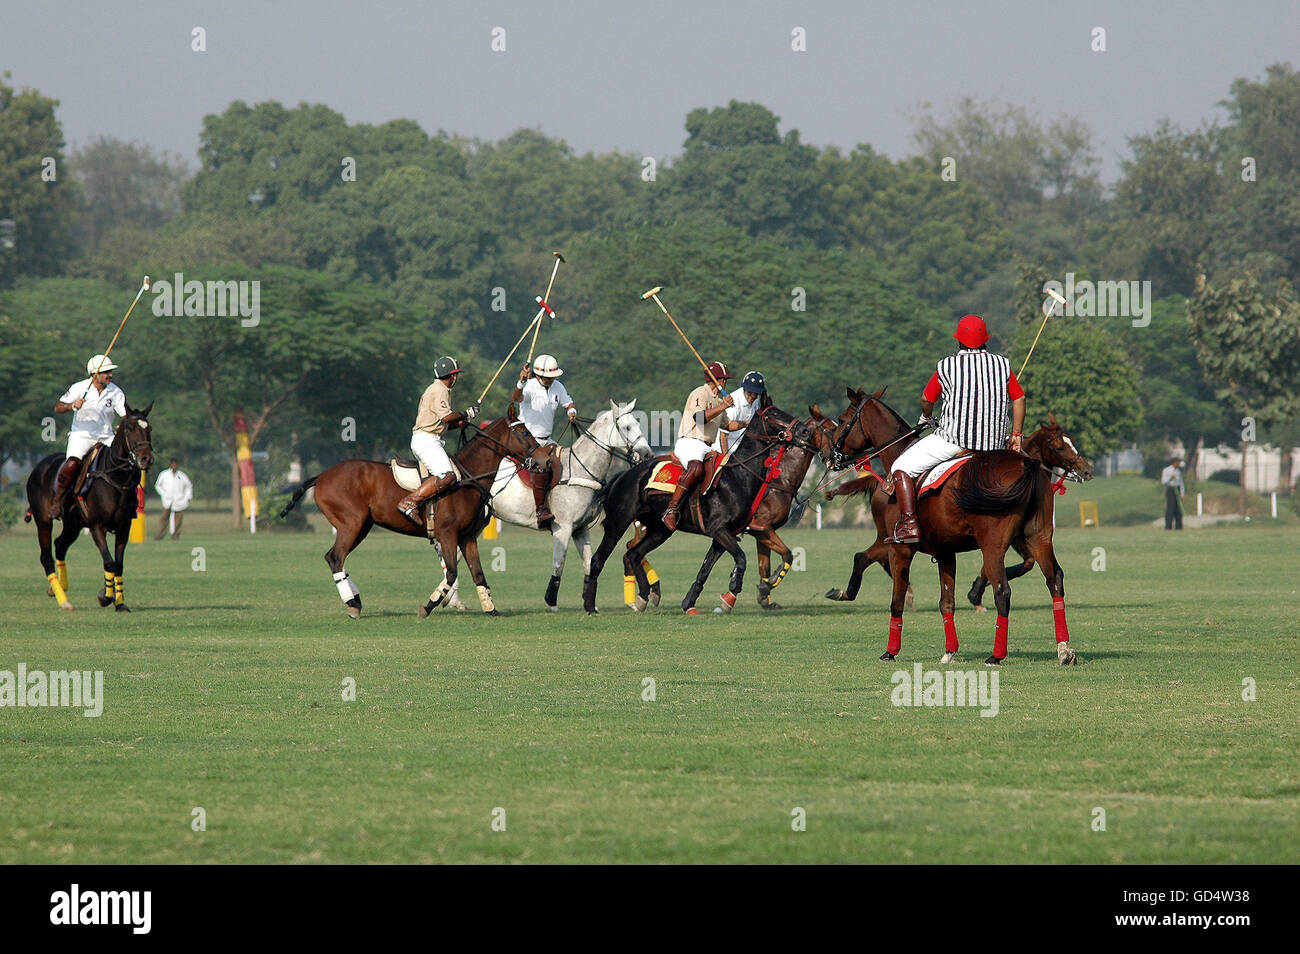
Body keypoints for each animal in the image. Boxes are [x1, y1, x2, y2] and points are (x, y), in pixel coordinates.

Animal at [24, 402, 156, 613]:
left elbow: (118, 564)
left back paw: (60, 587)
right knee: (46, 557)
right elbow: (109, 562)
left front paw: (120, 603)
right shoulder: (96, 525)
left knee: (60, 545)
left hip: (73, 524)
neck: (116, 478)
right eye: (129, 428)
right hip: (43, 520)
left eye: (149, 428)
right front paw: (105, 596)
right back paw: (64, 601)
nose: (146, 459)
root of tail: (38, 467)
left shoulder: (124, 526)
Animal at [276, 408, 540, 621]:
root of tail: (321, 477)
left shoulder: (467, 537)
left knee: (336, 557)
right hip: (351, 524)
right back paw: (353, 603)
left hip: (361, 526)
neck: (468, 478)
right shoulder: (447, 534)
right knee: (335, 557)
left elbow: (478, 573)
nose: (543, 459)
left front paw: (491, 609)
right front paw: (428, 606)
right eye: (524, 432)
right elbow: (451, 572)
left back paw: (356, 601)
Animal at [444, 402, 650, 613]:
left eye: (637, 424)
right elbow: (559, 564)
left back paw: (452, 600)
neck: (580, 469)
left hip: (478, 522)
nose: (646, 453)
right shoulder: (563, 528)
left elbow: (588, 563)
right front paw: (551, 600)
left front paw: (589, 601)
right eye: (626, 427)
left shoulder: (581, 529)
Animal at [579, 408, 811, 616]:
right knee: (598, 559)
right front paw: (732, 592)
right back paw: (591, 606)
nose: (805, 431)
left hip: (660, 530)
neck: (739, 475)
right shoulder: (720, 529)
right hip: (618, 522)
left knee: (633, 554)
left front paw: (690, 603)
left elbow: (705, 569)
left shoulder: (726, 534)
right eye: (774, 414)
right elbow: (741, 558)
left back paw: (643, 597)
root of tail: (623, 475)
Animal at [821, 389, 1086, 665]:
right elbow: (946, 601)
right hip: (1039, 537)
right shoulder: (945, 552)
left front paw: (890, 651)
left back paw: (996, 655)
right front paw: (949, 651)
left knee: (1003, 591)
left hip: (990, 544)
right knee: (1054, 580)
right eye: (1060, 446)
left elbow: (896, 601)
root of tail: (1027, 465)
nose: (829, 456)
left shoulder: (901, 550)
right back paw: (1065, 650)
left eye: (842, 420)